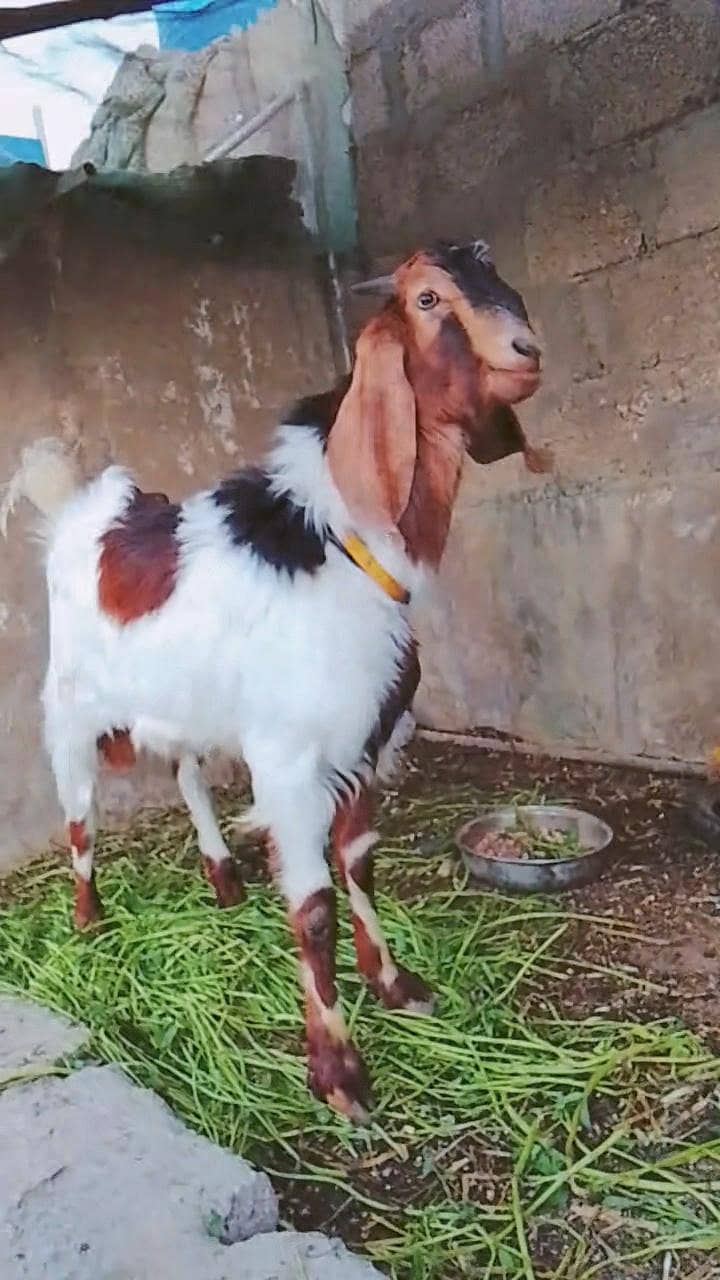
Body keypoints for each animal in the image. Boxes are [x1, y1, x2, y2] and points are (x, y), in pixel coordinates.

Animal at [5, 239, 545, 1121]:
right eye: (428, 299)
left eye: (495, 275)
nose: (527, 353)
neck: (340, 543)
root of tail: (80, 512)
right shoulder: (291, 759)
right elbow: (313, 906)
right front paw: (338, 1075)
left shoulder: (366, 741)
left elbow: (359, 862)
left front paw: (396, 984)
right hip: (74, 712)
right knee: (80, 818)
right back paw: (87, 920)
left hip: (183, 704)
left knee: (187, 776)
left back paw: (223, 877)